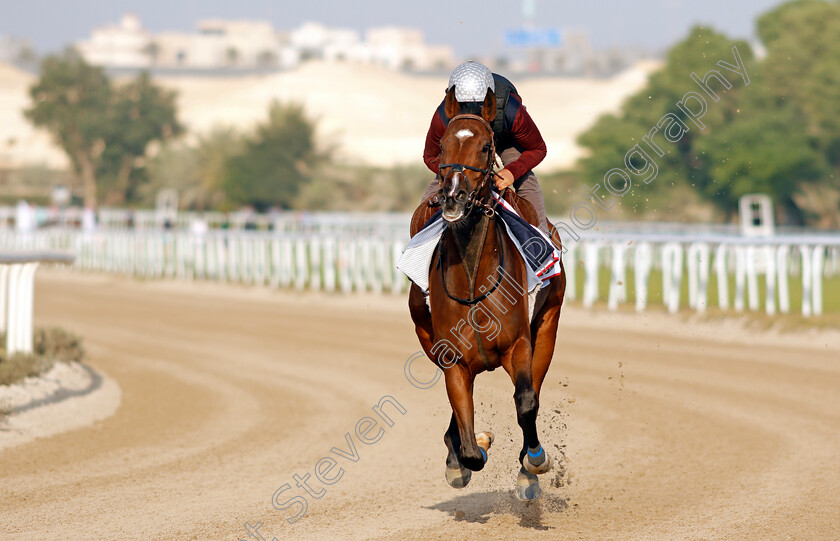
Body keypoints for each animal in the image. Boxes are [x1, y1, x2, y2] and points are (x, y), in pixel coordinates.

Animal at [406, 85, 564, 502]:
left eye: (484, 146)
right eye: (442, 145)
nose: (452, 197)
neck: (474, 277)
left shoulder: (519, 345)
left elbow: (526, 401)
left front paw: (533, 465)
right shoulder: (453, 359)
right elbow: (467, 437)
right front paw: (465, 454)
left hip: (547, 325)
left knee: (534, 388)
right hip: (425, 332)